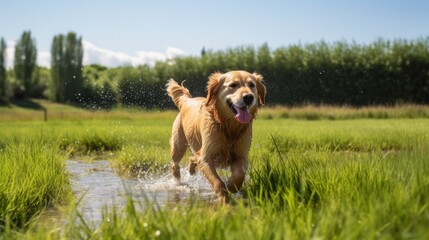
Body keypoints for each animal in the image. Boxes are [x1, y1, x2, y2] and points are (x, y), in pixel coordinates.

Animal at [166, 70, 264, 202]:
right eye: (233, 85)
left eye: (252, 85)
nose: (248, 97)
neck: (228, 127)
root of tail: (187, 100)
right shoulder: (207, 156)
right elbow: (217, 181)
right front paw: (224, 199)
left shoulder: (241, 155)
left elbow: (239, 174)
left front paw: (232, 186)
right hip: (178, 145)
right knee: (175, 164)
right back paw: (177, 181)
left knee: (193, 158)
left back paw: (192, 171)